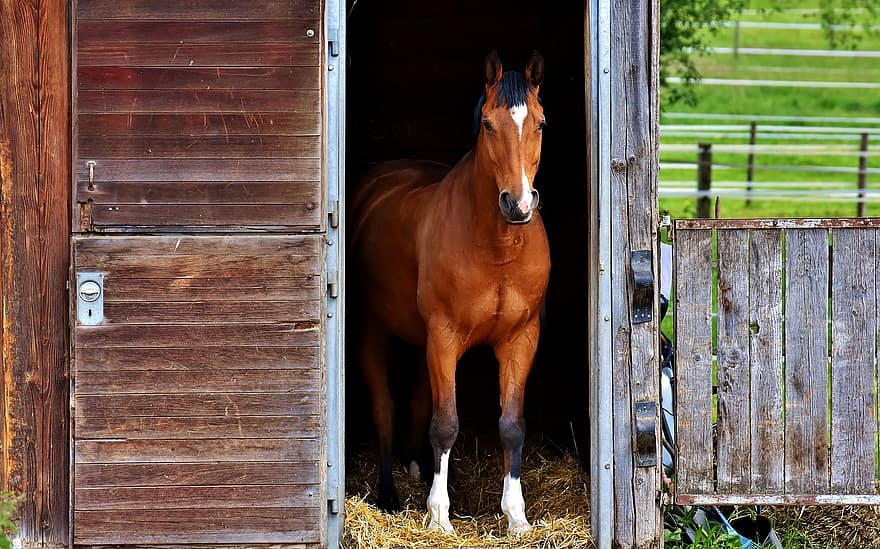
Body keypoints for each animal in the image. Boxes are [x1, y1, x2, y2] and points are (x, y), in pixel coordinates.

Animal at [350, 52, 552, 536]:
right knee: (385, 408)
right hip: (373, 331)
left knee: (417, 403)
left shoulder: (520, 339)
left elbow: (511, 425)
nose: (518, 204)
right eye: (488, 124)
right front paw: (439, 516)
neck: (497, 246)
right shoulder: (443, 337)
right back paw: (389, 495)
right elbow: (444, 424)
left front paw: (516, 516)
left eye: (540, 123)